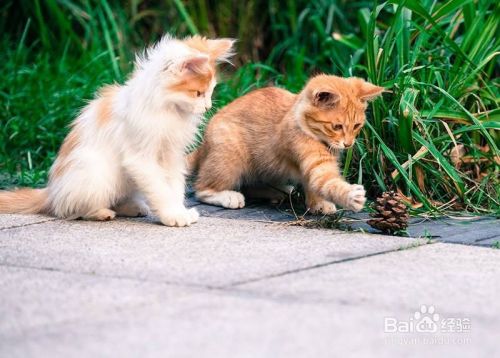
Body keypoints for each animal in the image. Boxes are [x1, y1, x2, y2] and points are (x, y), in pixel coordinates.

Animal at [0, 35, 234, 227]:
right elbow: (160, 189)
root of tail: (51, 192)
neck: (168, 110)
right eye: (197, 93)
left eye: (210, 92)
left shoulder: (171, 155)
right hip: (94, 171)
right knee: (71, 208)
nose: (208, 107)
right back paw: (100, 213)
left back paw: (133, 207)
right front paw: (173, 215)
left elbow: (173, 186)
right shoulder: (141, 158)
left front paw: (179, 210)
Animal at [189, 73, 384, 213]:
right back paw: (228, 197)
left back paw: (276, 191)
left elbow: (313, 183)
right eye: (337, 126)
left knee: (250, 185)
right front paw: (350, 196)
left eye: (357, 126)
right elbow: (324, 180)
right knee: (202, 189)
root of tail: (203, 146)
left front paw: (318, 204)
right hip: (230, 156)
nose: (348, 144)